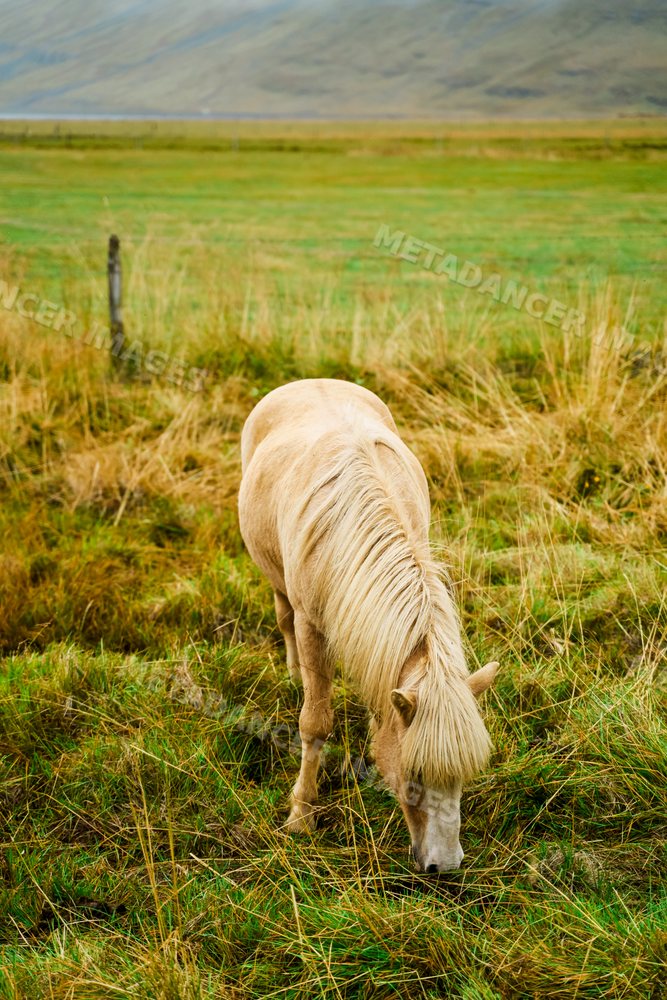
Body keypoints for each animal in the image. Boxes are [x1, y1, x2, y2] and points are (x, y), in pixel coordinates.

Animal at [238, 378, 497, 873]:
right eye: (416, 773)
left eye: (465, 775)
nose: (445, 866)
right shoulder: (312, 626)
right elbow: (314, 723)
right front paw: (301, 815)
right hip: (274, 576)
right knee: (282, 617)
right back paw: (292, 672)